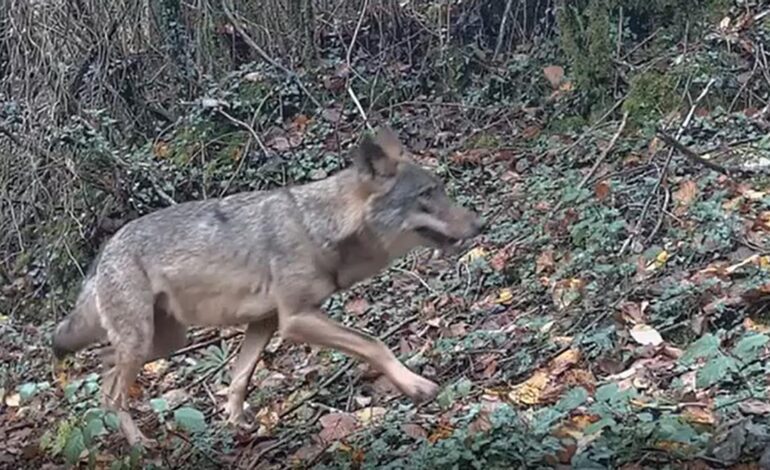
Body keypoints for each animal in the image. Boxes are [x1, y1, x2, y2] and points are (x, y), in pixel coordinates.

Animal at [51, 126, 483, 446]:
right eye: (427, 195)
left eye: (442, 188)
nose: (480, 224)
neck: (316, 227)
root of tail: (104, 252)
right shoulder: (296, 319)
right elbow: (374, 344)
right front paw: (417, 386)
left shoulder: (265, 323)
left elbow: (239, 379)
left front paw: (238, 426)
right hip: (146, 342)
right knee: (112, 389)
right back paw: (139, 445)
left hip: (164, 342)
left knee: (105, 368)